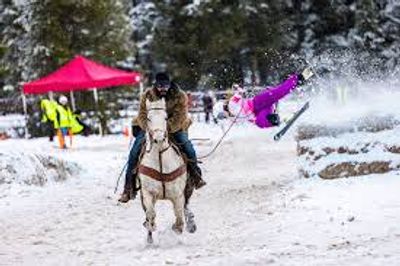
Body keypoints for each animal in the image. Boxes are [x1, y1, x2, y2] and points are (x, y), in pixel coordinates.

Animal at [139, 97, 197, 243]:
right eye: (148, 118)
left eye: (166, 118)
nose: (159, 138)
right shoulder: (147, 193)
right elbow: (150, 213)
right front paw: (151, 225)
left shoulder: (177, 195)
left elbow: (179, 218)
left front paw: (177, 228)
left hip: (187, 188)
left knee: (185, 207)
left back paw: (191, 224)